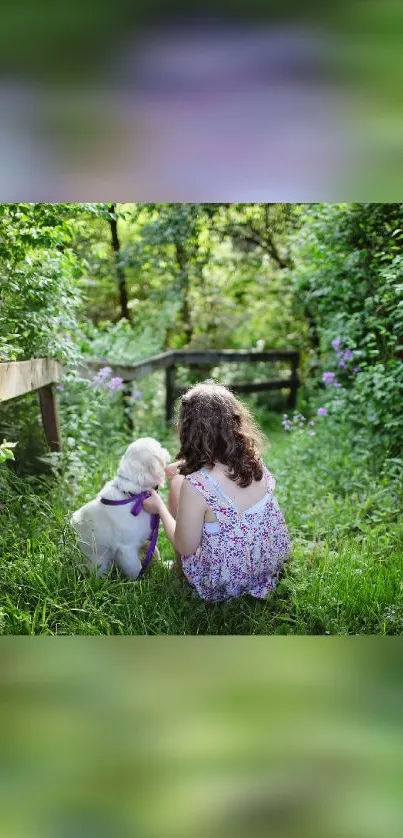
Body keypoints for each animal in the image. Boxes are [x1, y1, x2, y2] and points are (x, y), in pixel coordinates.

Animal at [70, 440, 170, 576]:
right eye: (159, 448)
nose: (167, 450)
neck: (133, 496)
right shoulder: (126, 548)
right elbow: (135, 568)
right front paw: (140, 579)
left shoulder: (146, 538)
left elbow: (155, 552)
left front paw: (163, 566)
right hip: (99, 561)